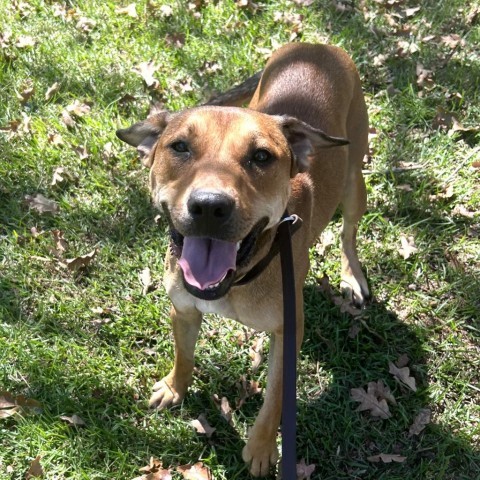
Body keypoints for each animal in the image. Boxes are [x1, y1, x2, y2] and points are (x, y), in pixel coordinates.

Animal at [117, 44, 372, 476]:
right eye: (179, 147)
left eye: (262, 156)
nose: (209, 206)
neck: (237, 279)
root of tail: (318, 45)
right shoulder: (183, 309)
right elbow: (184, 355)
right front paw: (173, 387)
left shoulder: (287, 333)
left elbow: (275, 400)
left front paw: (262, 448)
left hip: (355, 180)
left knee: (348, 233)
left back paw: (351, 276)